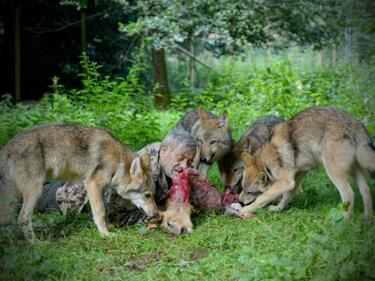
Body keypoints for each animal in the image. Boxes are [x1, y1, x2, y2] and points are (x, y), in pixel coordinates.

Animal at [0, 123, 159, 242]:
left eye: (153, 194)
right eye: (147, 195)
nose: (157, 213)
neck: (118, 161)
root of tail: (8, 146)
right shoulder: (92, 184)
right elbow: (100, 212)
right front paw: (105, 234)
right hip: (35, 191)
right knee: (23, 218)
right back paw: (37, 244)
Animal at [235, 106, 375, 218]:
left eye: (250, 192)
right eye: (242, 188)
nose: (239, 200)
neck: (266, 164)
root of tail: (355, 123)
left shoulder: (286, 181)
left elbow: (262, 198)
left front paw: (244, 209)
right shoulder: (298, 175)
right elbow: (287, 196)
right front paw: (277, 209)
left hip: (334, 172)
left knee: (349, 194)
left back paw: (344, 221)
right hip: (354, 169)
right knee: (366, 190)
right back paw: (367, 218)